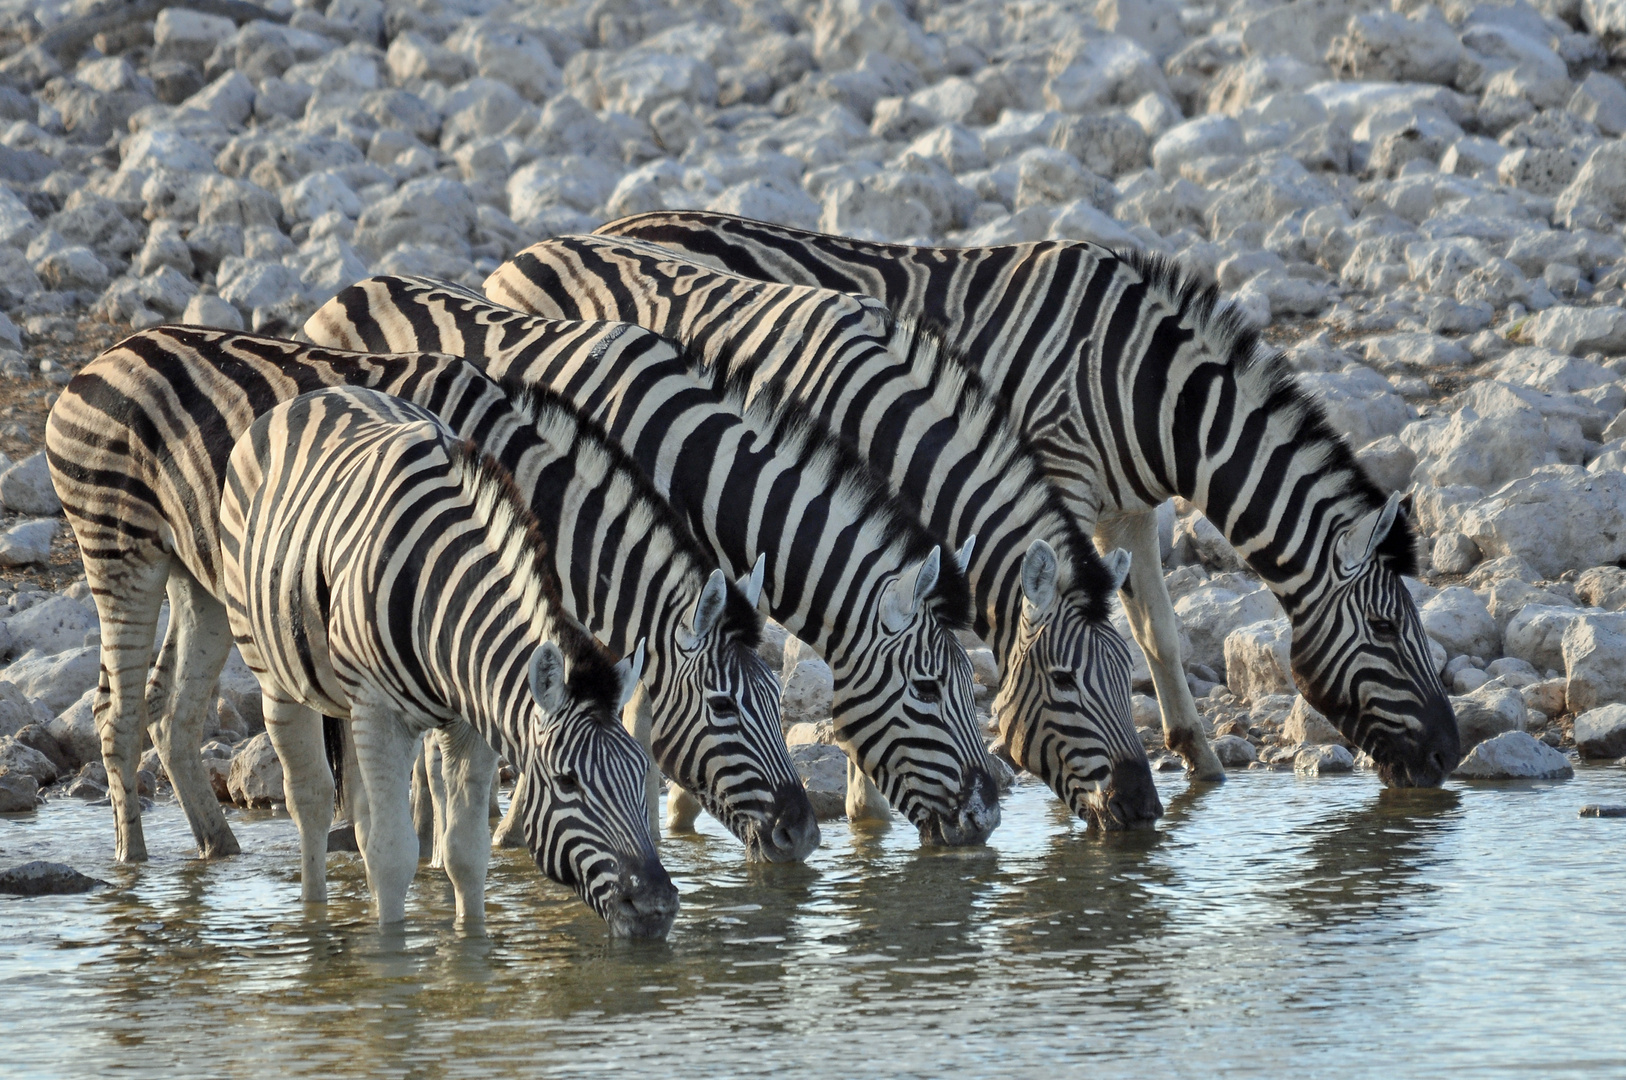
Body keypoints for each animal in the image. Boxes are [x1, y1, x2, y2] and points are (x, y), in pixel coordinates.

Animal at [44, 326, 813, 871]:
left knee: (172, 715)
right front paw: (431, 856)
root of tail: (103, 355)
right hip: (122, 554)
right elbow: (427, 774)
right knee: (117, 714)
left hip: (198, 580)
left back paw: (218, 849)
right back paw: (131, 863)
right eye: (722, 708)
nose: (801, 833)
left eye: (780, 703)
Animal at [217, 388, 673, 936]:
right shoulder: (381, 712)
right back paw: (314, 917)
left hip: (351, 706)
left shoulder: (472, 720)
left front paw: (469, 942)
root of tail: (315, 395)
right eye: (567, 781)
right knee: (310, 801)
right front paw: (390, 948)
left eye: (641, 771)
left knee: (362, 813)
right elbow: (393, 855)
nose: (656, 907)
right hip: (276, 677)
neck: (439, 591)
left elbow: (465, 854)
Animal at [595, 213, 1463, 783]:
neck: (1153, 393)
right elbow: (1056, 618)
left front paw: (1200, 762)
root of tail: (619, 222)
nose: (1449, 754)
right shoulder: (1062, 478)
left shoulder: (1132, 508)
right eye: (1388, 628)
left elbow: (1159, 636)